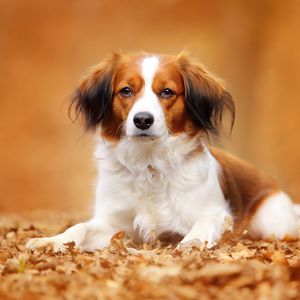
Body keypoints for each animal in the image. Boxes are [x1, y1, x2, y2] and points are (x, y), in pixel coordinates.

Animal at [26, 52, 300, 252]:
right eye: (126, 90)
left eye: (167, 92)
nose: (142, 120)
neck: (149, 163)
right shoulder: (113, 224)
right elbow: (80, 228)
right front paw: (51, 240)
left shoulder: (215, 213)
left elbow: (205, 223)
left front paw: (191, 243)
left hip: (271, 223)